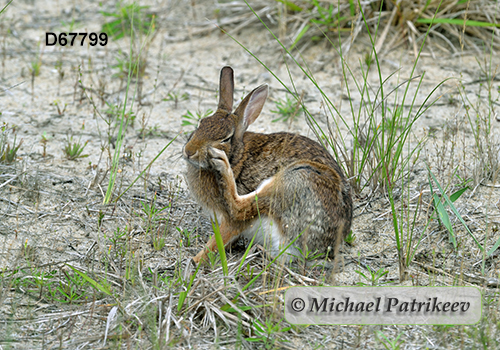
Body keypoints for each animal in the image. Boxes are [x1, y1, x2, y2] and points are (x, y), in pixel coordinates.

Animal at [184, 66, 352, 262]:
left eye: (225, 139)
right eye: (200, 123)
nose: (189, 151)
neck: (237, 156)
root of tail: (321, 248)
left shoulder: (230, 222)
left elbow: (221, 237)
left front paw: (196, 260)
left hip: (295, 179)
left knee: (239, 207)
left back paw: (222, 165)